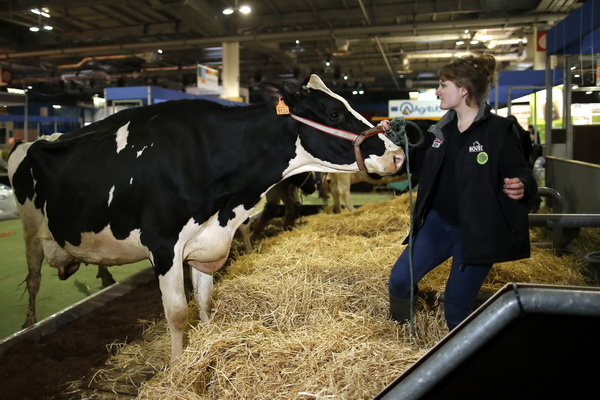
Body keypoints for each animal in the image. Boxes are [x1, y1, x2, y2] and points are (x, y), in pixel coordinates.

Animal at [8, 73, 404, 364]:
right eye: (334, 113)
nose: (398, 155)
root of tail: (34, 140)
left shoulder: (205, 243)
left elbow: (204, 299)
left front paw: (209, 339)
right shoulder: (164, 247)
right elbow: (178, 313)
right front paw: (177, 369)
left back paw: (103, 276)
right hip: (30, 229)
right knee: (33, 279)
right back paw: (28, 325)